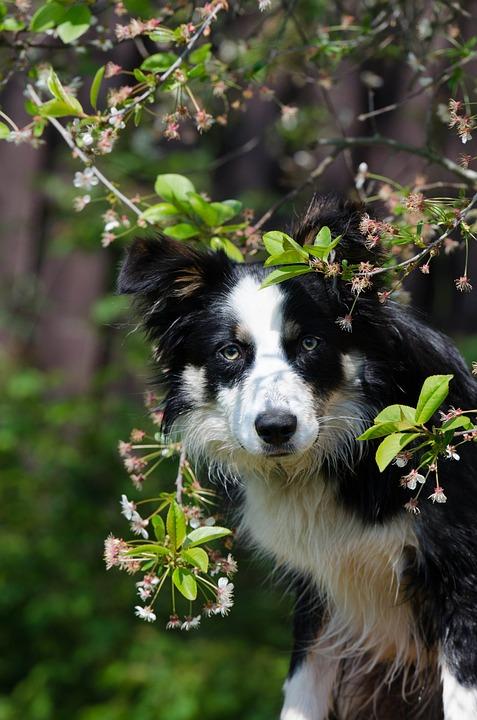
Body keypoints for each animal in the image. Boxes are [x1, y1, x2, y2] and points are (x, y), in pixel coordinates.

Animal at [117, 194, 476, 716]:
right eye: (230, 352)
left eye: (309, 342)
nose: (275, 429)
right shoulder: (320, 589)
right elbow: (301, 689)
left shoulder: (460, 575)